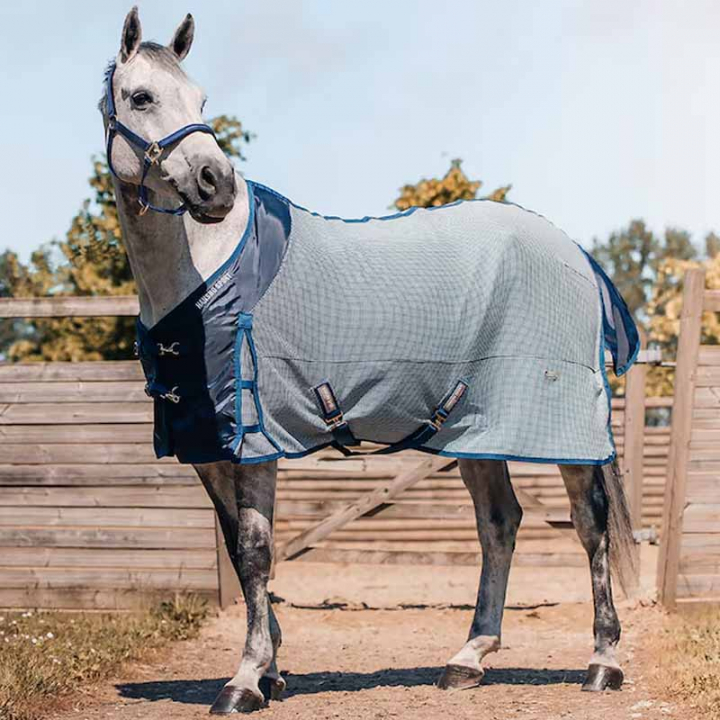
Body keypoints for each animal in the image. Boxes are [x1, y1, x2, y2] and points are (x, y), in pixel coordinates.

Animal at [101, 8, 638, 713]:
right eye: (141, 97)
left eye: (201, 99)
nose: (215, 185)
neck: (206, 276)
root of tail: (575, 252)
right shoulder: (210, 447)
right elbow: (240, 555)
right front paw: (270, 672)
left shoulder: (258, 442)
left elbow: (256, 552)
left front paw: (244, 681)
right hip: (477, 430)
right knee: (500, 524)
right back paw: (468, 659)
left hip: (563, 430)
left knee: (589, 526)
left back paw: (602, 662)